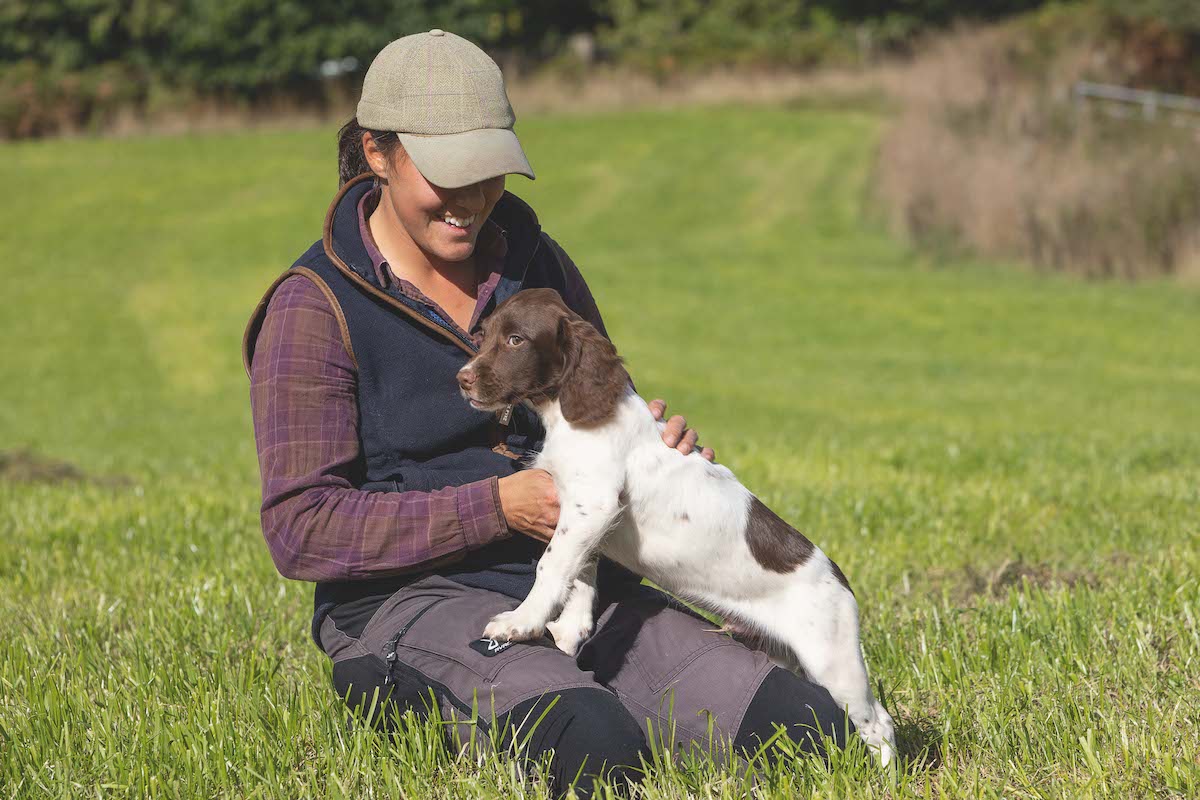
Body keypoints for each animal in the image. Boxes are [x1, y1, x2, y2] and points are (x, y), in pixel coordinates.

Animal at [453, 287, 897, 762]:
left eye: (515, 340)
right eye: (485, 334)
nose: (462, 379)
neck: (572, 413)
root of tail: (841, 580)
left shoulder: (593, 501)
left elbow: (553, 565)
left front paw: (521, 622)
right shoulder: (584, 513)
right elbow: (580, 571)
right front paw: (571, 631)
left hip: (832, 659)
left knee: (878, 722)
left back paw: (882, 774)